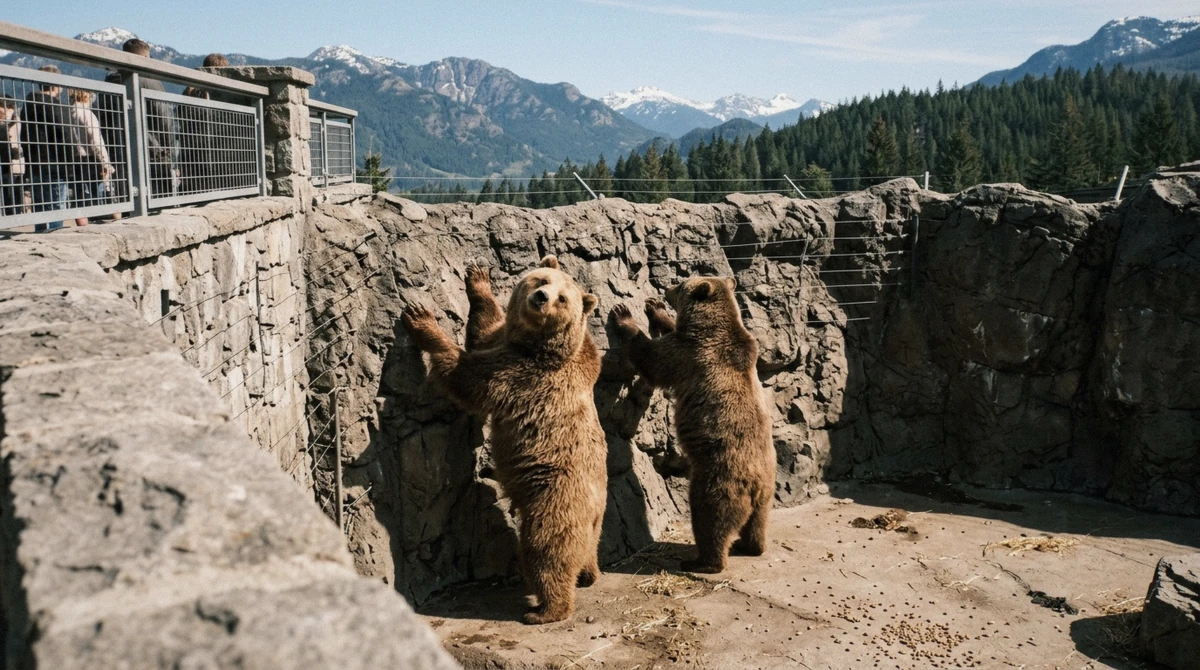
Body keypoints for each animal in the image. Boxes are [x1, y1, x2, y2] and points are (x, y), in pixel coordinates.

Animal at [401, 256, 607, 624]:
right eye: (542, 279)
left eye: (562, 298)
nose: (540, 297)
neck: (536, 345)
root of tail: (595, 509)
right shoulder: (505, 344)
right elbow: (484, 330)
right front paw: (478, 279)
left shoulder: (519, 376)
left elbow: (468, 378)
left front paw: (420, 318)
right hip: (593, 519)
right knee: (586, 548)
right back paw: (588, 573)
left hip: (556, 496)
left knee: (547, 548)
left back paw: (545, 609)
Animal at [610, 277, 775, 574]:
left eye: (680, 284)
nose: (666, 290)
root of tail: (755, 485)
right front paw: (655, 309)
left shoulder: (690, 354)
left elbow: (652, 358)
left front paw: (623, 314)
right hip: (766, 495)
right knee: (757, 523)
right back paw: (750, 546)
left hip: (717, 481)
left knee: (710, 519)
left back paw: (702, 561)